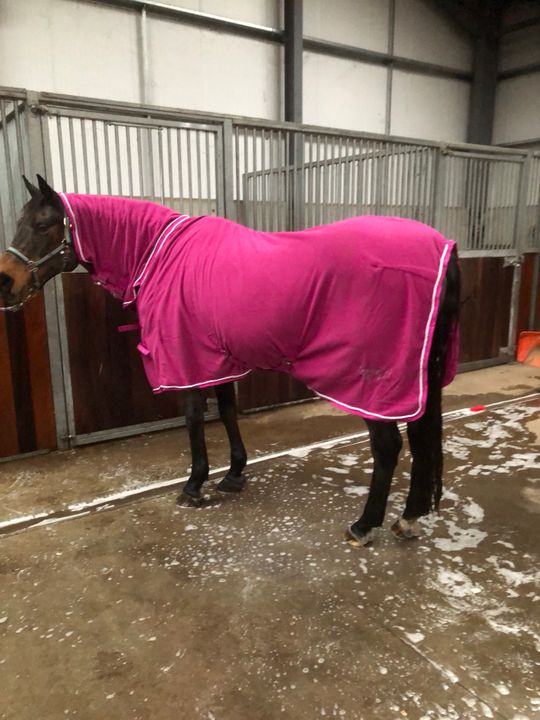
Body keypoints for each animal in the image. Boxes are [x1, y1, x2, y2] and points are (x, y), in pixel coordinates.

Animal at [0, 175, 460, 546]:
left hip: (372, 381)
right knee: (420, 439)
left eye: (42, 225)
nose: (6, 282)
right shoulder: (216, 356)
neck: (159, 254)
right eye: (20, 222)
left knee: (388, 446)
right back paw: (409, 518)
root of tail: (439, 246)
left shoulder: (184, 356)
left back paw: (364, 526)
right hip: (415, 377)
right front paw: (234, 475)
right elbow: (226, 411)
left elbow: (193, 418)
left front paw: (194, 484)